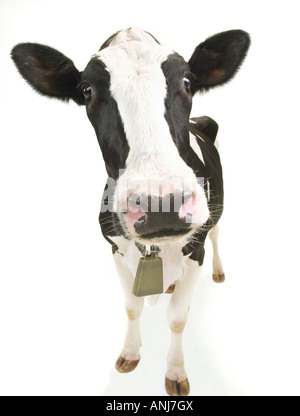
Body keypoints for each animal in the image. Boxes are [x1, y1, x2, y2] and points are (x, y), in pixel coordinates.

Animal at [11, 27, 251, 394]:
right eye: (86, 91)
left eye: (188, 81)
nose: (161, 204)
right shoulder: (116, 249)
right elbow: (132, 308)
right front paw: (130, 353)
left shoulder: (195, 251)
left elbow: (177, 319)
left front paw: (175, 372)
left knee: (218, 233)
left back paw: (219, 270)